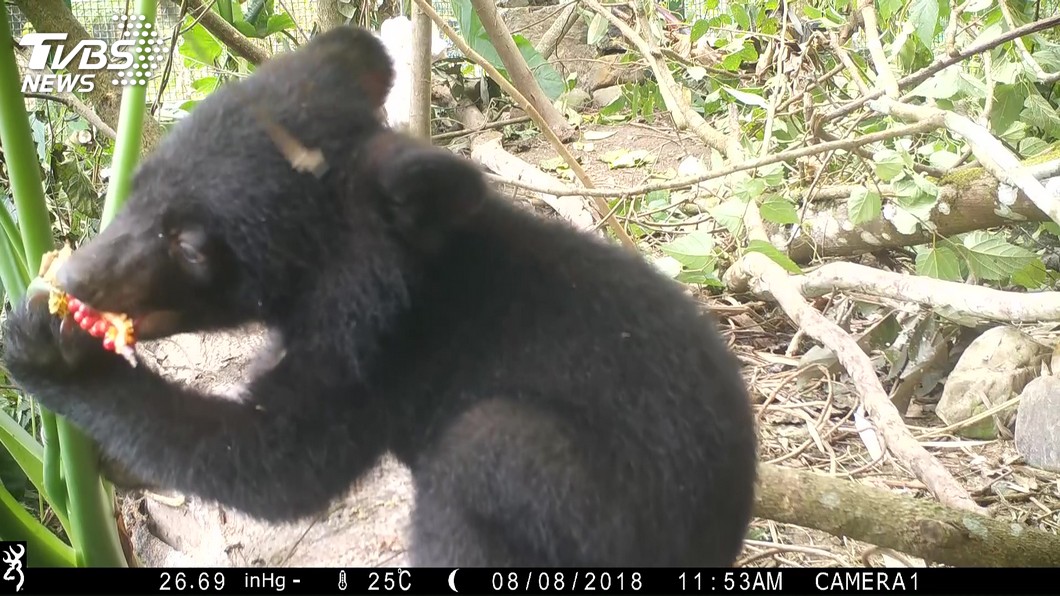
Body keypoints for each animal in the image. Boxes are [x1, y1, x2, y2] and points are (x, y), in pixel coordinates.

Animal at [1, 25, 757, 567]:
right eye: (136, 188)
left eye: (191, 244)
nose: (71, 280)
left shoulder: (371, 356)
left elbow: (273, 463)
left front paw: (48, 355)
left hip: (584, 502)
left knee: (483, 457)